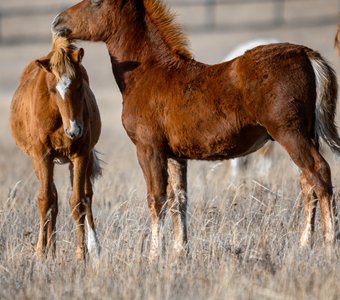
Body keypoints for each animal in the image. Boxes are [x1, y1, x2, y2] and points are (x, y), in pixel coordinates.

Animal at [9, 35, 101, 260]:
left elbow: (78, 201)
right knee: (53, 198)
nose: (74, 130)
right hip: (39, 162)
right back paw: (51, 248)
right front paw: (40, 253)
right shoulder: (42, 156)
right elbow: (45, 200)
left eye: (80, 85)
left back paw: (94, 247)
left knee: (86, 195)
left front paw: (82, 254)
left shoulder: (80, 155)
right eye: (52, 89)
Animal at [51, 0, 338, 258]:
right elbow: (179, 200)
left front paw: (155, 255)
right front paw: (181, 252)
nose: (57, 22)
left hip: (290, 134)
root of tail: (304, 53)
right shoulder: (175, 155)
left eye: (96, 2)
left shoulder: (148, 148)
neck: (150, 73)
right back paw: (304, 245)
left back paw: (328, 244)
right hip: (306, 134)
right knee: (307, 184)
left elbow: (156, 199)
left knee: (319, 173)